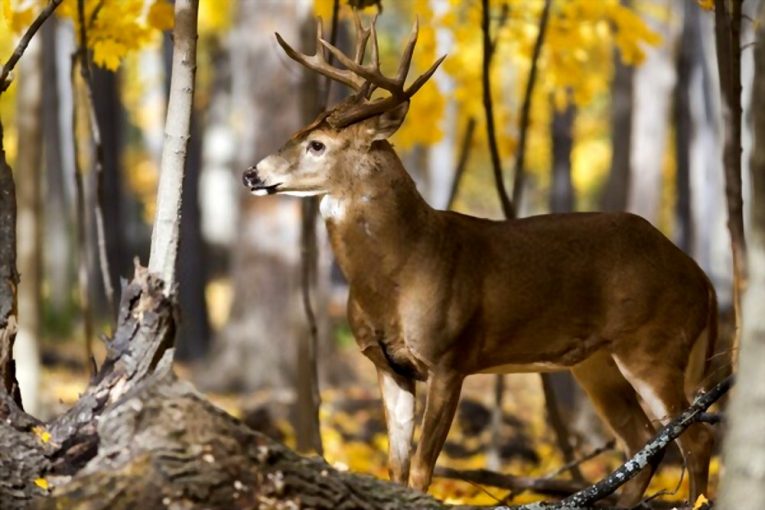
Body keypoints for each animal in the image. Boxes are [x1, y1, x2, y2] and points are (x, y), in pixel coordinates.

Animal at [242, 12, 717, 506]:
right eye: (297, 131)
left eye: (317, 144)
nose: (251, 173)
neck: (401, 268)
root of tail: (701, 277)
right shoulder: (386, 365)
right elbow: (395, 466)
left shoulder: (451, 358)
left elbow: (421, 469)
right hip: (595, 362)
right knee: (641, 438)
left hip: (653, 344)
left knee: (695, 437)